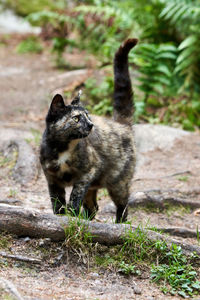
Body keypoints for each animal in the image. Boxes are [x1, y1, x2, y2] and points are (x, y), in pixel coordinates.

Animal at [40, 38, 138, 223]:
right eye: (76, 118)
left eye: (88, 115)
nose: (91, 124)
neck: (63, 148)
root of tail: (121, 124)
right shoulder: (52, 180)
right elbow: (57, 204)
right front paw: (61, 218)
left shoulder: (87, 172)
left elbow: (74, 196)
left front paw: (71, 214)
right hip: (94, 187)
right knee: (94, 207)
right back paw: (87, 220)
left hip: (118, 183)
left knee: (123, 205)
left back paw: (119, 224)